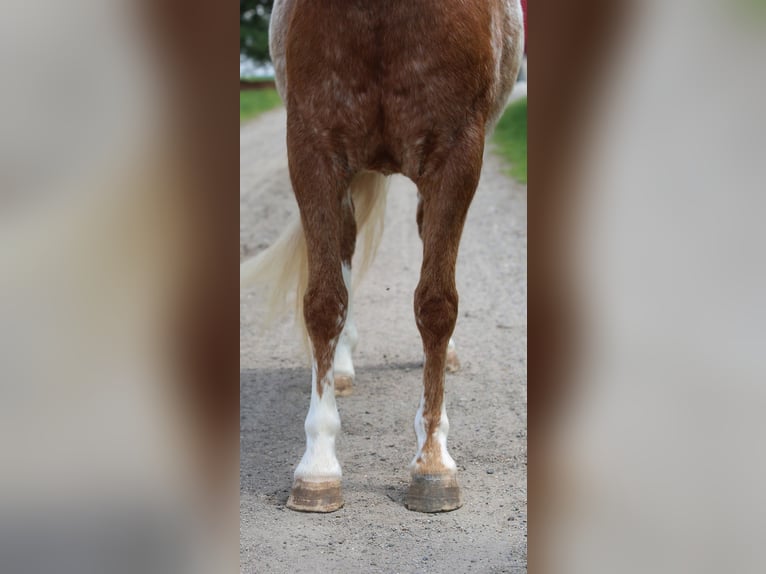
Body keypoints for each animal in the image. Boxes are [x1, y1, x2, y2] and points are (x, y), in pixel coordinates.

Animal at [241, 0, 524, 513]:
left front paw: (433, 465)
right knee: (346, 250)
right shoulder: (312, 150)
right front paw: (317, 466)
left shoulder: (457, 159)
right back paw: (342, 366)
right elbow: (323, 303)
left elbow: (436, 305)